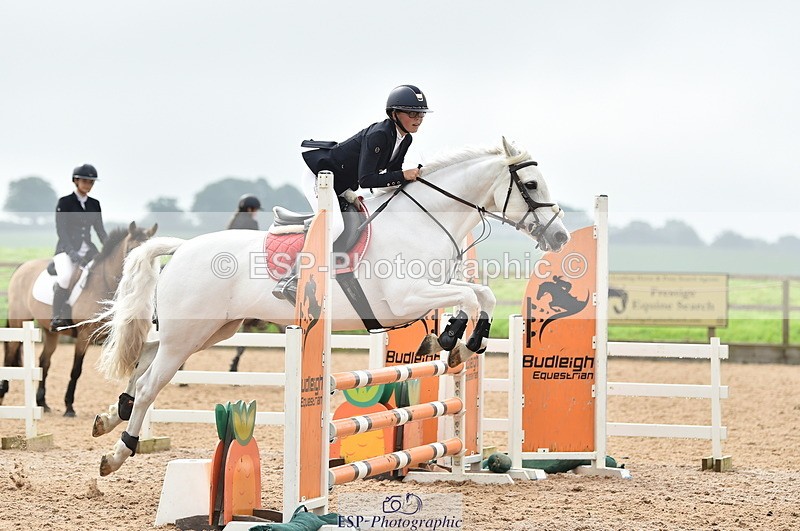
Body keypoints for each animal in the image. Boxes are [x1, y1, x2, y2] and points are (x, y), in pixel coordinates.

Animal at [0, 222, 157, 416]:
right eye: (130, 251)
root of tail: (22, 266)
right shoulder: (84, 336)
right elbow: (76, 370)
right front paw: (69, 407)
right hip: (18, 321)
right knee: (10, 355)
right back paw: (4, 394)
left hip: (50, 332)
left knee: (44, 361)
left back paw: (42, 403)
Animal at [90, 137, 571, 476]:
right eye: (530, 184)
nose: (560, 236)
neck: (424, 219)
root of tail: (183, 247)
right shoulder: (406, 298)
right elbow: (470, 297)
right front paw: (453, 341)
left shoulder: (430, 288)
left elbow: (480, 296)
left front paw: (456, 343)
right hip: (188, 334)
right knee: (150, 383)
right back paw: (117, 454)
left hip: (208, 330)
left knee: (143, 360)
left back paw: (109, 416)